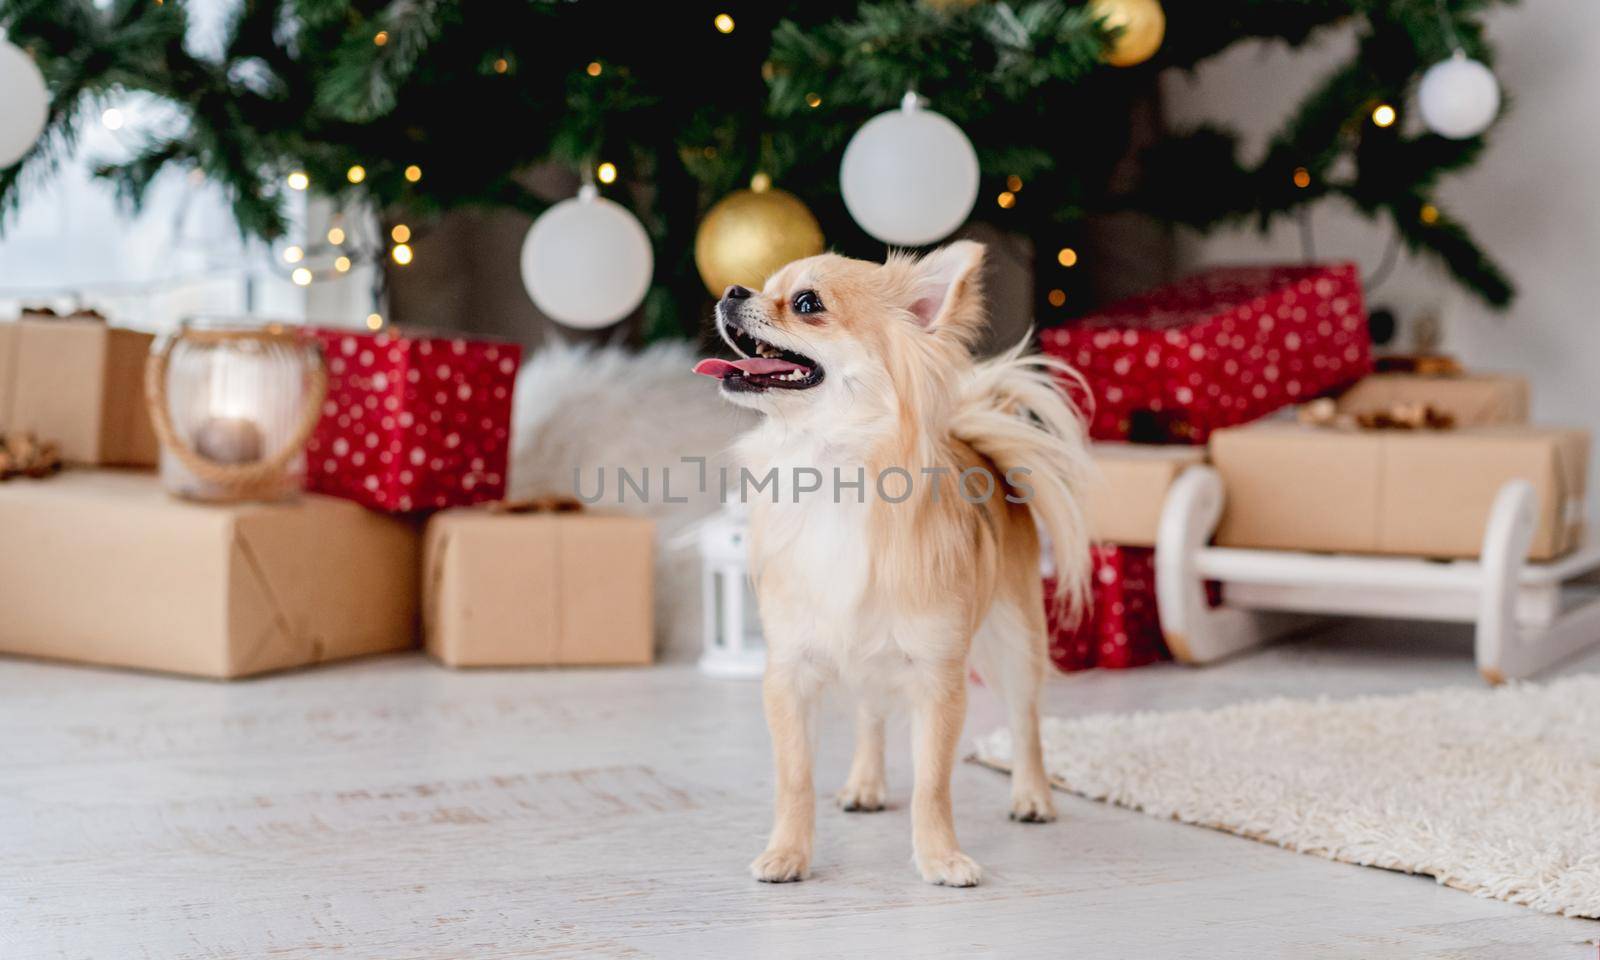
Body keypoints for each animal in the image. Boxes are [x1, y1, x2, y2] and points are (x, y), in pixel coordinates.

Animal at [694, 240, 1094, 883]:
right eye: (762, 284)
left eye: (806, 303)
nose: (732, 290)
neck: (828, 468)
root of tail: (980, 449)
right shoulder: (790, 672)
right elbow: (795, 777)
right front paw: (788, 853)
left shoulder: (937, 677)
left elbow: (933, 782)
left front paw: (939, 858)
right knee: (871, 715)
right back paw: (865, 783)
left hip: (1015, 637)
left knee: (1025, 721)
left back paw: (1033, 797)